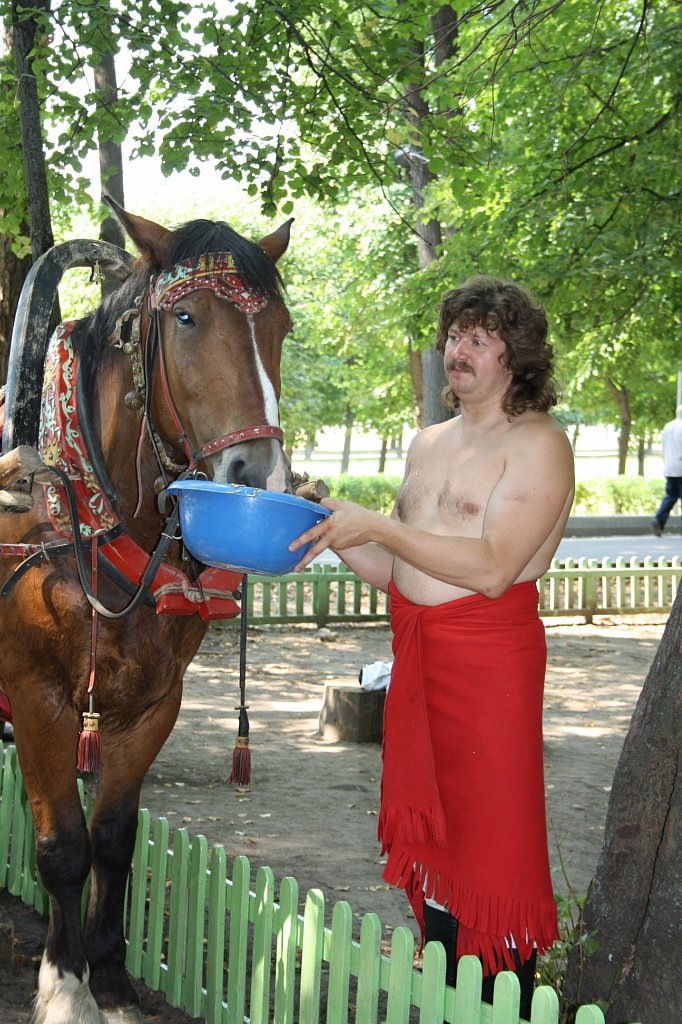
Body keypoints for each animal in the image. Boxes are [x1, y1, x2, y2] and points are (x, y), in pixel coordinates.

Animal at [0, 198, 293, 1023]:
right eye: (186, 317)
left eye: (282, 326)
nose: (255, 474)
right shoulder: (38, 700)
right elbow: (62, 845)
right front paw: (65, 986)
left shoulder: (154, 703)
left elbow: (113, 838)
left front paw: (110, 980)